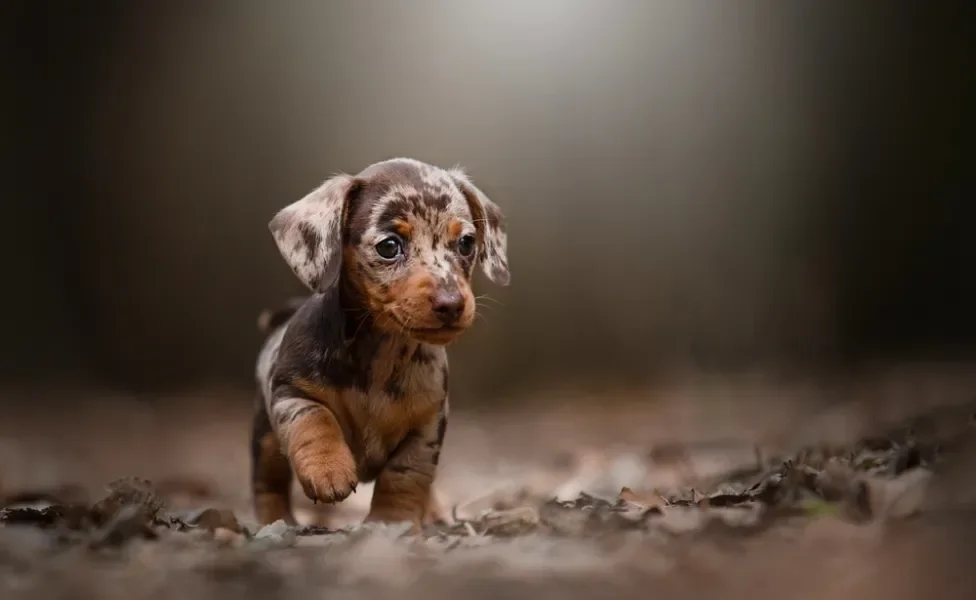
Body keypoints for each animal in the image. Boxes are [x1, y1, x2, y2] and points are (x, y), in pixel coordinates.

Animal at [252, 157, 510, 528]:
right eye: (389, 246)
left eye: (465, 243)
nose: (451, 304)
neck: (382, 356)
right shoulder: (291, 392)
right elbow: (315, 421)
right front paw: (328, 469)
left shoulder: (425, 430)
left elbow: (403, 480)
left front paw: (391, 523)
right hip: (266, 442)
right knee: (267, 485)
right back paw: (277, 520)